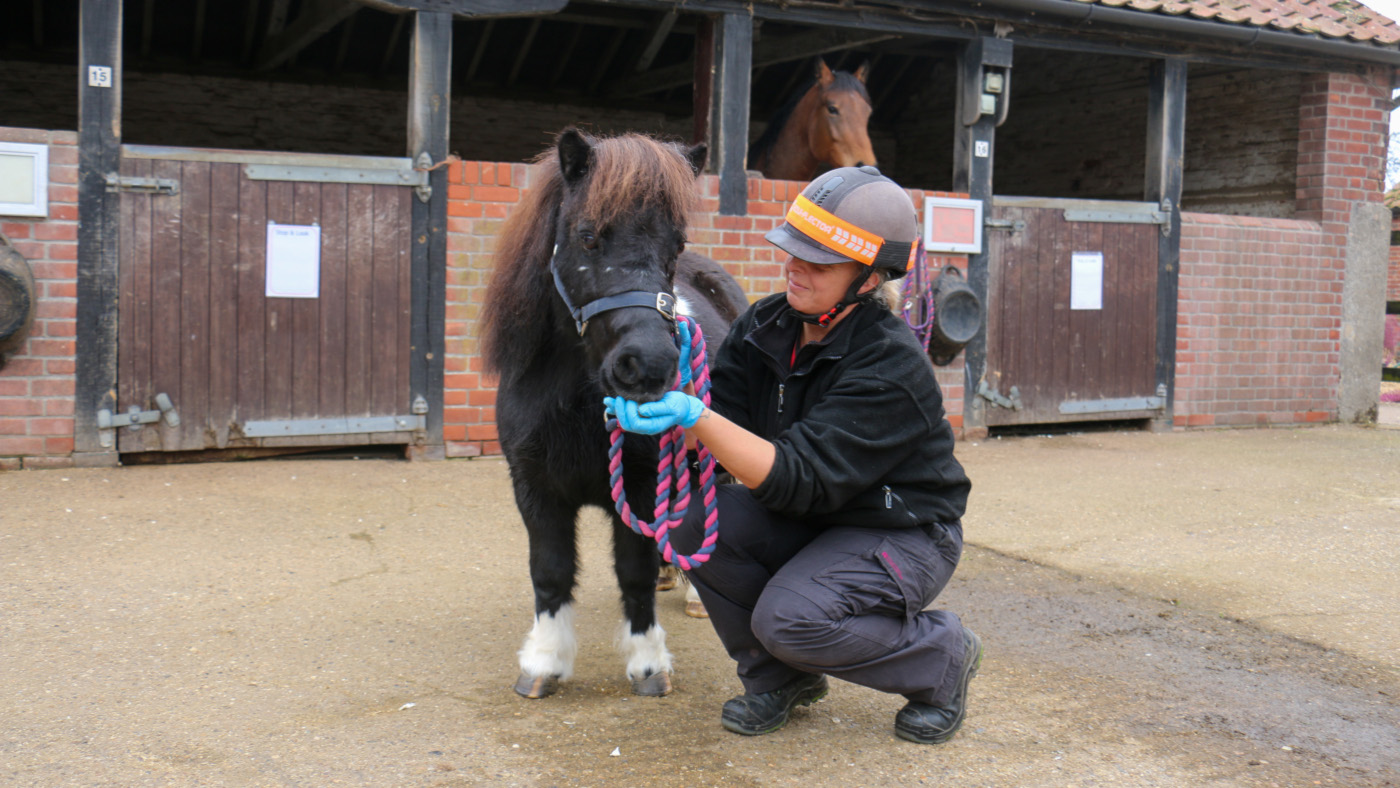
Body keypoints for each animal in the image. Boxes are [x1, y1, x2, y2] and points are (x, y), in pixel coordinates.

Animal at [481, 128, 749, 699]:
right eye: (587, 236)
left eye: (676, 244)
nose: (648, 365)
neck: (578, 402)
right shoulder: (534, 488)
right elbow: (551, 571)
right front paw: (543, 663)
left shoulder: (642, 485)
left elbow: (634, 571)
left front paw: (648, 664)